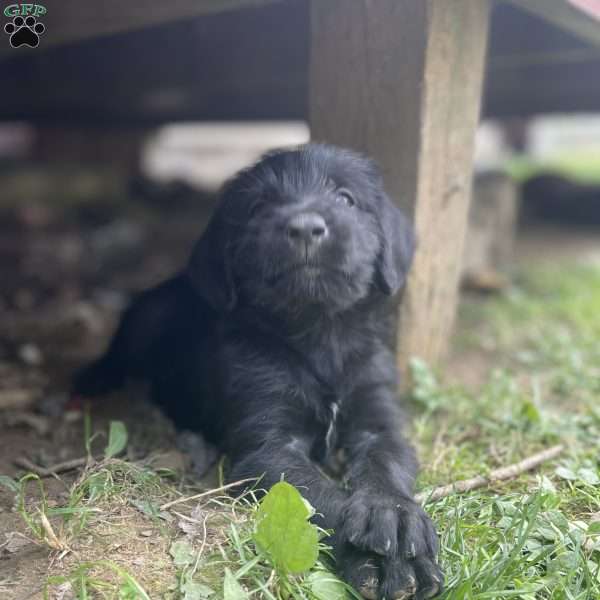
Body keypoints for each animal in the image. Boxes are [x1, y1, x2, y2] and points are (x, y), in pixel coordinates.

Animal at [74, 143, 440, 596]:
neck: (319, 334)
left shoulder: (378, 420)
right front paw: (373, 561)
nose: (305, 227)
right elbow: (319, 496)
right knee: (121, 348)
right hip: (146, 317)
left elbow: (385, 464)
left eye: (345, 198)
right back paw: (95, 379)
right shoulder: (269, 447)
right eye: (260, 207)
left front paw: (393, 514)